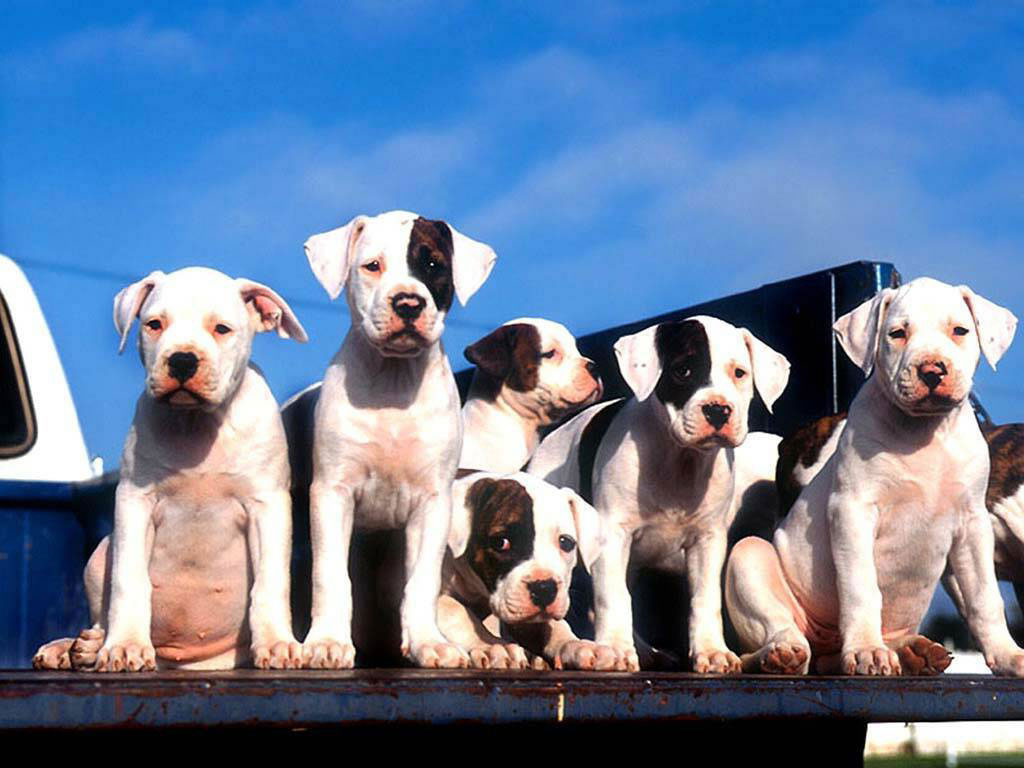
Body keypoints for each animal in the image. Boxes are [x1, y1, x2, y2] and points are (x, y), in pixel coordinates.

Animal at [299, 208, 495, 667]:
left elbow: (421, 580)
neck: (393, 379)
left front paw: (428, 642)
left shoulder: (433, 502)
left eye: (434, 265)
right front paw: (328, 641)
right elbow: (330, 574)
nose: (408, 302)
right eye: (373, 266)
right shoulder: (332, 492)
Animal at [438, 473, 614, 671]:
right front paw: (491, 645)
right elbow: (456, 610)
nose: (544, 588)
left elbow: (555, 626)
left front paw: (577, 645)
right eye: (501, 542)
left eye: (566, 542)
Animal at [724, 280, 1024, 675]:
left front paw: (1008, 655)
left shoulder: (973, 524)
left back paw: (913, 652)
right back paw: (781, 654)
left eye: (959, 331)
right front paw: (867, 649)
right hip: (751, 558)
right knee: (779, 633)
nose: (932, 370)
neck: (923, 432)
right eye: (897, 333)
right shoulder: (852, 511)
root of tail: (826, 647)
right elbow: (861, 586)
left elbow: (985, 598)